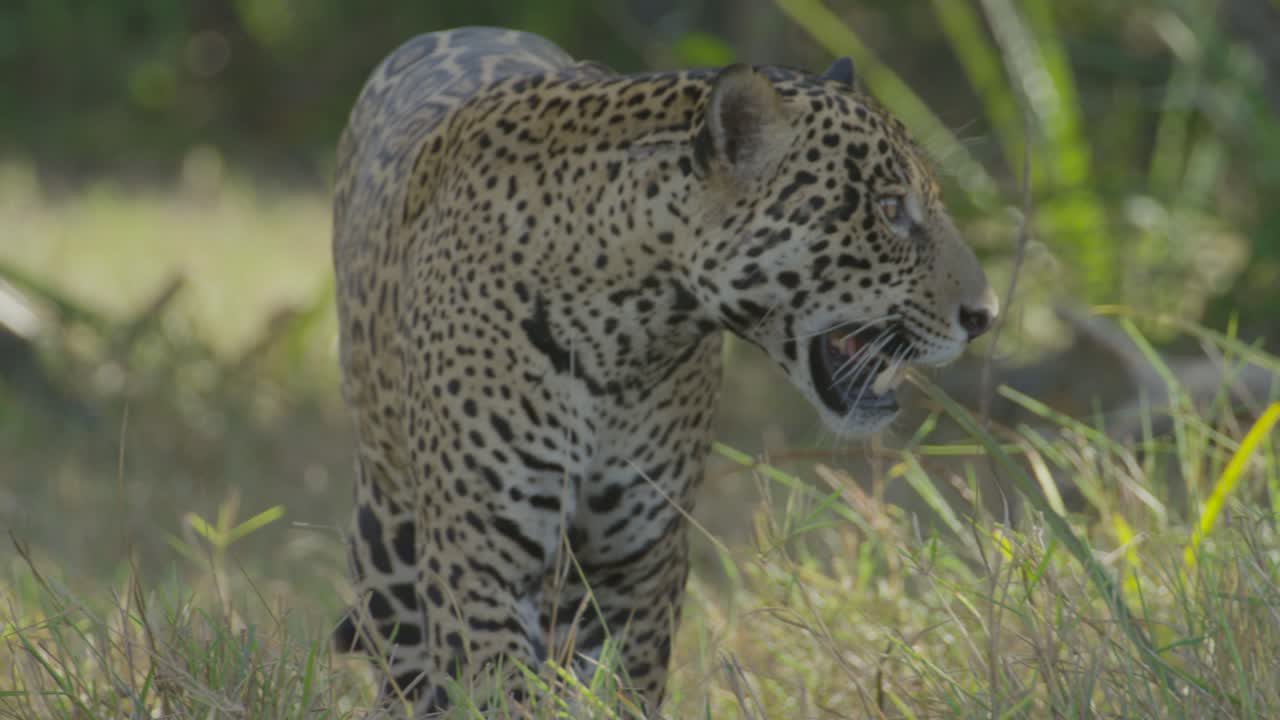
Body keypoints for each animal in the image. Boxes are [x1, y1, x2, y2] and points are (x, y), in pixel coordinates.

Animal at [329, 26, 997, 717]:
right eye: (890, 209)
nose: (985, 315)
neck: (623, 330)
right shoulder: (481, 556)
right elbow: (502, 690)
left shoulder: (638, 563)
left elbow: (622, 688)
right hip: (390, 543)